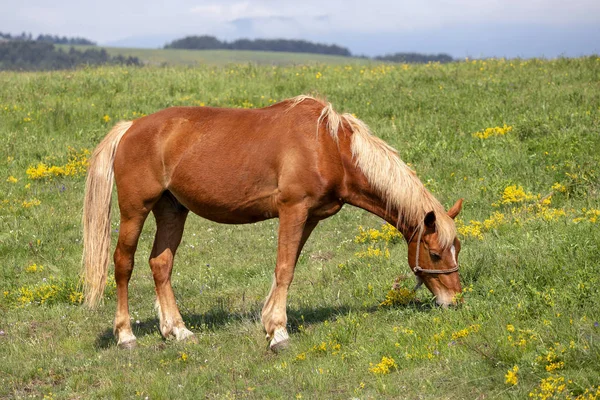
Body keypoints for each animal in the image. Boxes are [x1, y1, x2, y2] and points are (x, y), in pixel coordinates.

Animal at [81, 96, 464, 350]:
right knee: (124, 263)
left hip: (172, 211)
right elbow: (284, 269)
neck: (328, 145)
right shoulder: (292, 210)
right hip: (136, 210)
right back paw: (125, 335)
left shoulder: (309, 218)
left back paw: (177, 330)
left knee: (160, 264)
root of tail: (131, 127)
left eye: (456, 250)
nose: (455, 301)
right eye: (434, 254)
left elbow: (288, 266)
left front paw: (269, 322)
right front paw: (278, 332)